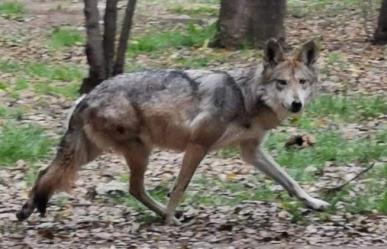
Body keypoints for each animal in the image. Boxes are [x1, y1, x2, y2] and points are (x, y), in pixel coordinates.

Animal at [16, 39, 328, 224]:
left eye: (301, 82)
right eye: (281, 83)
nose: (296, 104)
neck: (245, 96)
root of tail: (87, 96)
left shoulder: (251, 152)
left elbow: (290, 182)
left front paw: (314, 203)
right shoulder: (198, 146)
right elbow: (179, 188)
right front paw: (169, 221)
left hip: (96, 152)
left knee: (46, 172)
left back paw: (26, 210)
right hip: (138, 152)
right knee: (133, 188)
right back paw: (170, 217)